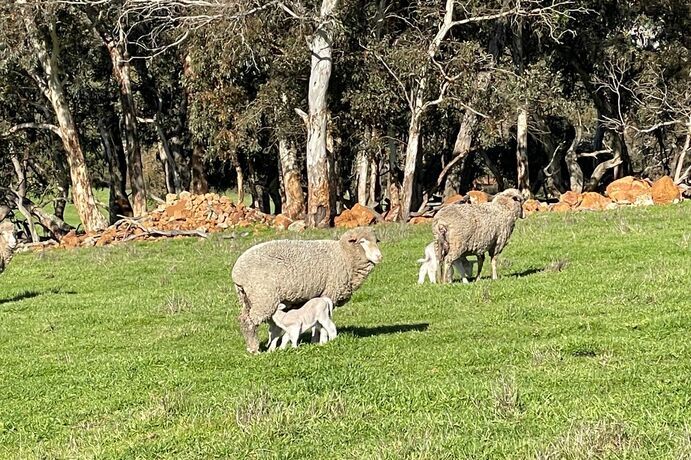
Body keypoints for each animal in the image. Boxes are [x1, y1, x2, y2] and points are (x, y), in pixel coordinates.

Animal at [232, 227, 382, 354]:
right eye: (362, 241)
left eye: (376, 241)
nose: (379, 256)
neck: (343, 255)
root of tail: (237, 272)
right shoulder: (329, 293)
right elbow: (321, 324)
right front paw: (322, 341)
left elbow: (316, 324)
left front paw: (315, 341)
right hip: (263, 297)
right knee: (249, 322)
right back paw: (254, 349)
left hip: (247, 298)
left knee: (244, 318)